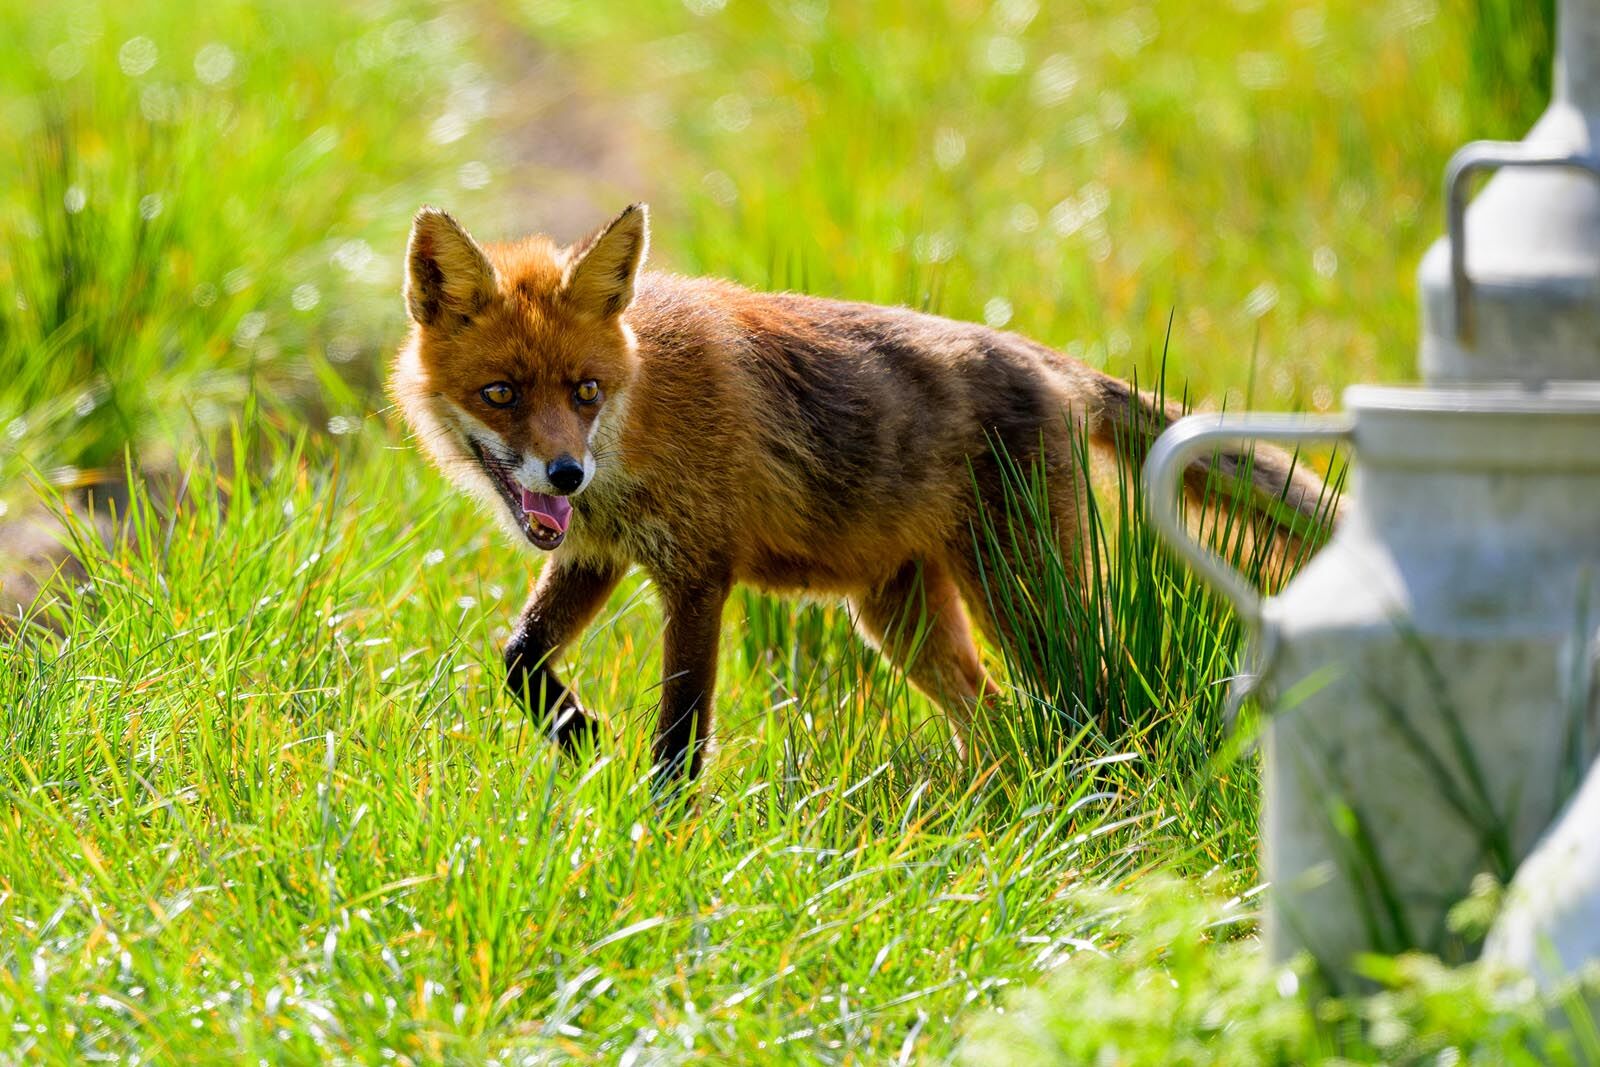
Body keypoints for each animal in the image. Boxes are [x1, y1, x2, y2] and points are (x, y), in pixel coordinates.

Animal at [390, 203, 1331, 782]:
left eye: (584, 391)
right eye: (502, 393)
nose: (564, 474)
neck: (639, 415)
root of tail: (1047, 360)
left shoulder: (698, 575)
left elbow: (680, 739)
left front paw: (662, 836)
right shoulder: (597, 552)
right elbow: (519, 657)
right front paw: (574, 731)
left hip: (1025, 601)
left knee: (1098, 697)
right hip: (902, 621)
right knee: (1001, 722)